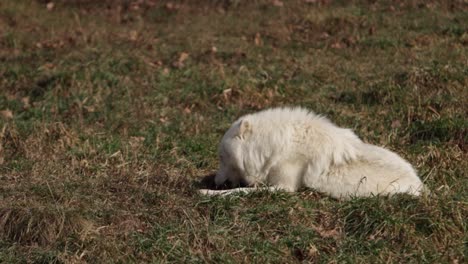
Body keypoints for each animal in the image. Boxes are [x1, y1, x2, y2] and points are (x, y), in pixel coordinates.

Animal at [199, 106, 426, 198]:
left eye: (221, 157)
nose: (216, 181)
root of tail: (422, 186)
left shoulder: (284, 188)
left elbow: (239, 191)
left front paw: (207, 193)